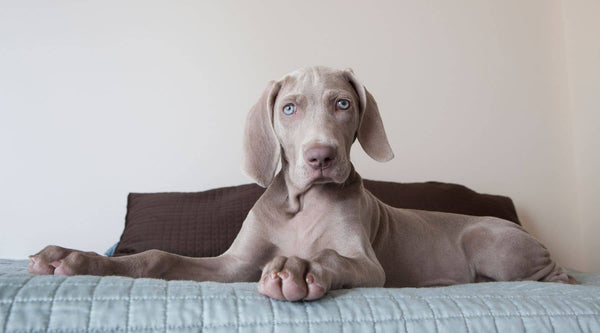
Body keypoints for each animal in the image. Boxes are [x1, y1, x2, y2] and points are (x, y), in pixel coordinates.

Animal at [28, 65, 572, 300]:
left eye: (343, 104)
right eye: (288, 108)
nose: (321, 157)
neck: (299, 204)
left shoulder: (367, 264)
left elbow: (333, 256)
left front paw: (302, 268)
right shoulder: (232, 267)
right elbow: (158, 257)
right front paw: (75, 259)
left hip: (489, 240)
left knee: (544, 274)